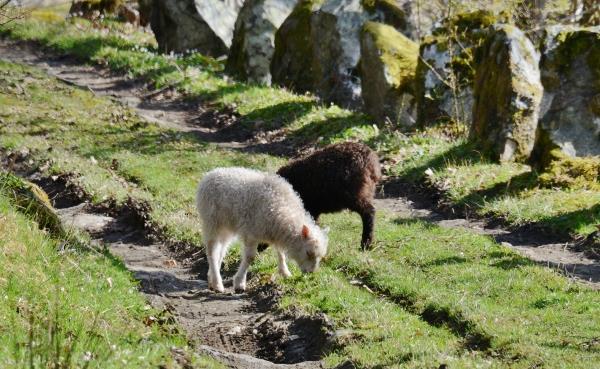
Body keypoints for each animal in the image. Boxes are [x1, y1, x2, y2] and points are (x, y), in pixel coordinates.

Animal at [196, 168, 328, 292]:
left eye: (320, 256)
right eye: (308, 253)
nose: (310, 273)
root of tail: (209, 174)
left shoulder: (275, 231)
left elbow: (280, 252)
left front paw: (285, 272)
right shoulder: (251, 233)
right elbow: (250, 258)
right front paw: (239, 282)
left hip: (226, 227)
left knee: (221, 250)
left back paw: (211, 279)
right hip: (212, 222)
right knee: (212, 251)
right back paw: (217, 283)